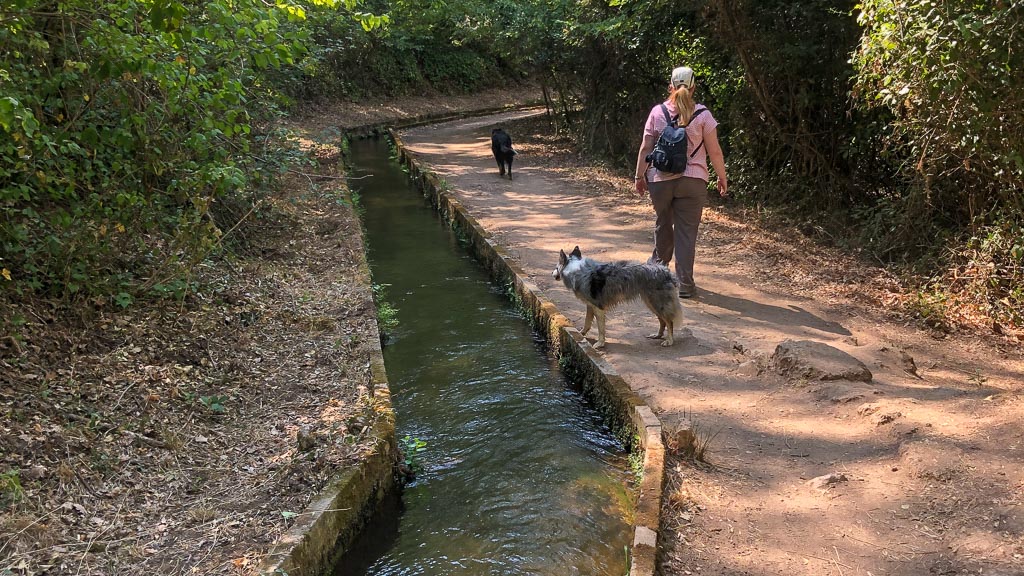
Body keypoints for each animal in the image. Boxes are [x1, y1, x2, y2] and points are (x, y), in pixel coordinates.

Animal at [552, 246, 684, 349]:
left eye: (556, 267)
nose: (551, 273)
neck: (575, 269)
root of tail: (665, 269)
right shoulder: (590, 305)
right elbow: (587, 322)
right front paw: (581, 334)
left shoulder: (598, 308)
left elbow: (601, 329)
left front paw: (600, 344)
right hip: (651, 303)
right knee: (662, 321)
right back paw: (658, 335)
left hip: (657, 303)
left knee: (669, 321)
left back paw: (669, 341)